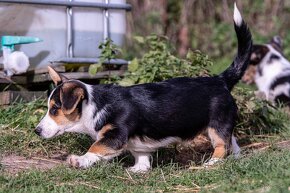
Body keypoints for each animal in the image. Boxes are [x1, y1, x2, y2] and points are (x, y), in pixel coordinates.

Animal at [34, 4, 251, 173]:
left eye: (55, 109)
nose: (37, 131)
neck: (93, 106)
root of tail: (220, 80)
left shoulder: (115, 135)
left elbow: (95, 148)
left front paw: (79, 160)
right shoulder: (136, 144)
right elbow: (142, 155)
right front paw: (139, 169)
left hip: (217, 125)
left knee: (222, 146)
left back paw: (210, 164)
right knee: (232, 142)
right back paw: (235, 159)